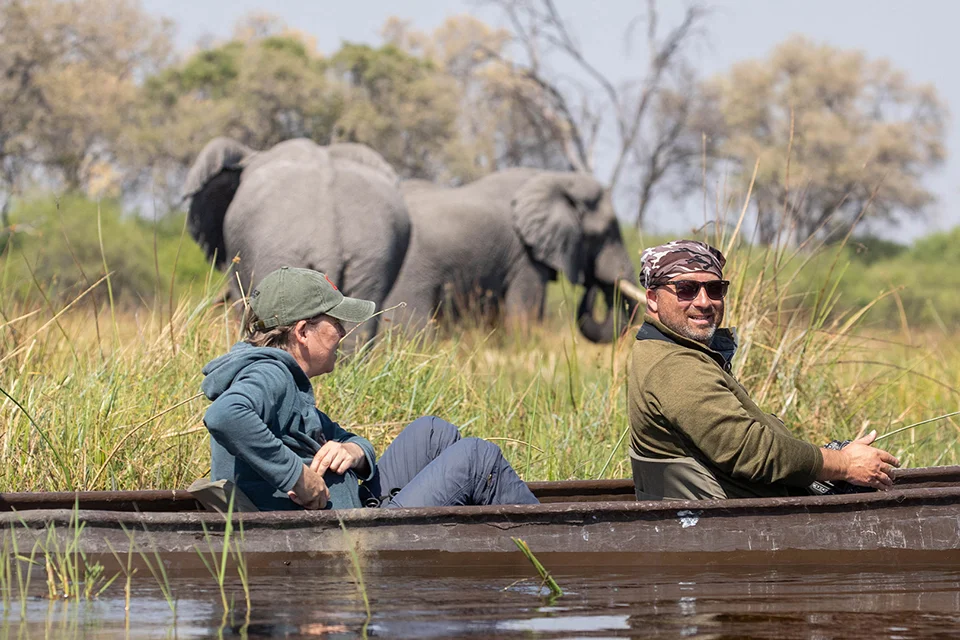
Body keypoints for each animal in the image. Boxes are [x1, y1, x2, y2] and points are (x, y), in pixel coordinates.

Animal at [382, 168, 643, 342]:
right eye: (604, 235)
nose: (591, 282)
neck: (553, 178)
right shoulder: (524, 257)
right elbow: (524, 314)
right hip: (410, 274)